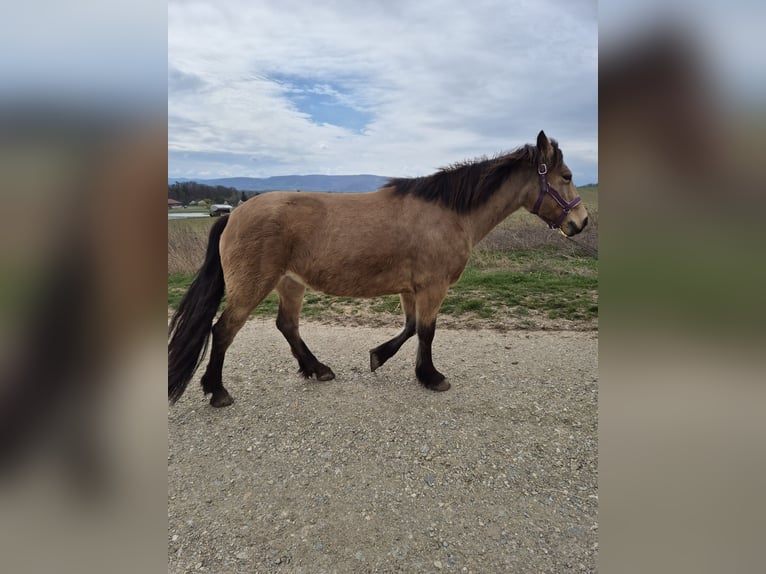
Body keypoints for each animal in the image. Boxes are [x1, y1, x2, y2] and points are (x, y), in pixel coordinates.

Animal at [168, 131, 588, 407]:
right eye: (567, 177)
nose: (581, 222)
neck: (448, 213)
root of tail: (233, 214)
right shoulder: (432, 287)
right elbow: (426, 331)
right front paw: (430, 376)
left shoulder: (411, 289)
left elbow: (410, 328)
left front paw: (379, 356)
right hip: (253, 286)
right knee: (223, 331)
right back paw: (218, 391)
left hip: (290, 283)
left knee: (287, 326)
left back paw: (317, 368)